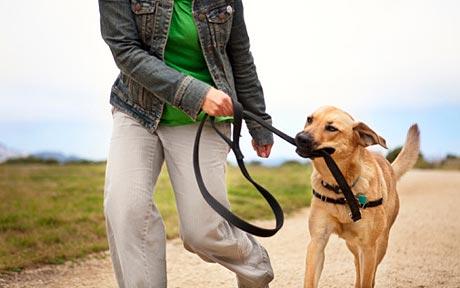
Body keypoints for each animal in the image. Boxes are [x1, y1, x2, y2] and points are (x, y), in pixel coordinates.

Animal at [294, 106, 420, 288]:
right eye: (309, 119)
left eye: (331, 128)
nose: (300, 137)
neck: (341, 186)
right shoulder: (317, 242)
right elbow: (310, 280)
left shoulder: (368, 247)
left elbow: (367, 280)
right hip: (352, 245)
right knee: (357, 266)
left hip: (380, 244)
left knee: (370, 274)